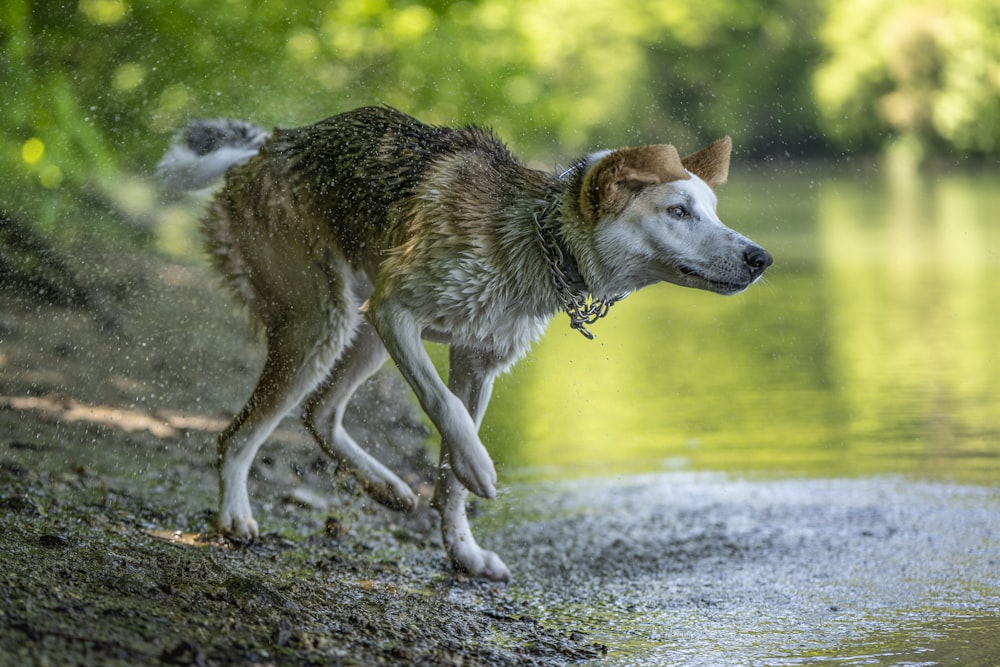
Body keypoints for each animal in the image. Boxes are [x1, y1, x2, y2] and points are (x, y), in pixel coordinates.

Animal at [158, 105, 772, 580]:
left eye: (711, 211)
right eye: (678, 212)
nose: (761, 258)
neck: (534, 238)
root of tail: (265, 147)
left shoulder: (477, 360)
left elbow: (449, 479)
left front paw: (464, 555)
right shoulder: (399, 313)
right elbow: (444, 408)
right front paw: (479, 467)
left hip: (363, 328)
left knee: (319, 413)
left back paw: (387, 487)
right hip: (325, 322)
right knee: (238, 435)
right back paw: (234, 516)